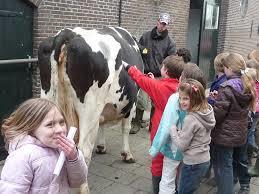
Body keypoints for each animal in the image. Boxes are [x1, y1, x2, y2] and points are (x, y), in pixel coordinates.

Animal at [38, 26, 144, 171]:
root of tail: (67, 33)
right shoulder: (132, 102)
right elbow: (126, 128)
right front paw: (127, 154)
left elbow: (102, 123)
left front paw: (101, 146)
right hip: (89, 109)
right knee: (84, 149)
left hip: (48, 97)